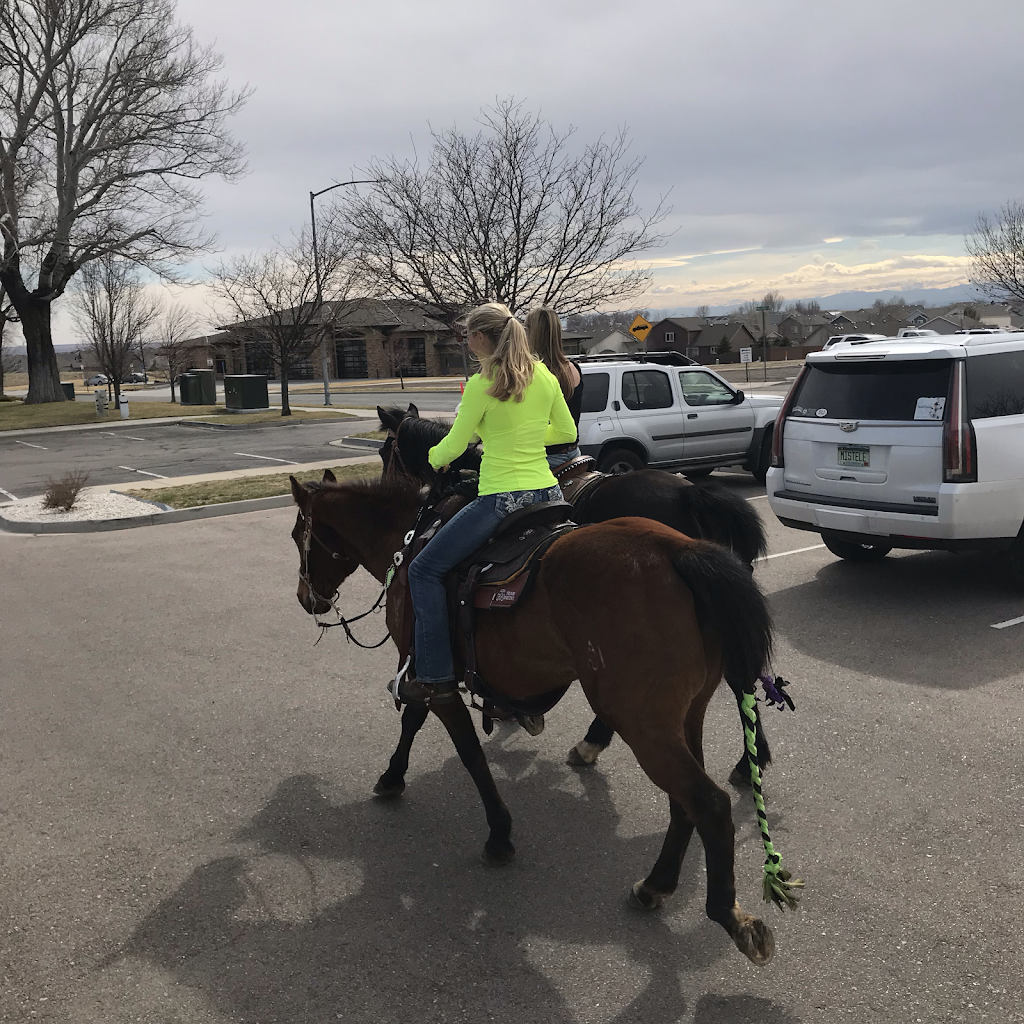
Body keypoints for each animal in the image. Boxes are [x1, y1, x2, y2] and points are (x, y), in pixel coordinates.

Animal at [290, 468, 798, 958]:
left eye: (298, 535)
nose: (305, 598)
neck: (411, 539)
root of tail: (680, 550)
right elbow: (421, 724)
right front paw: (395, 777)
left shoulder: (428, 673)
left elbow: (462, 748)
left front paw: (494, 832)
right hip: (685, 715)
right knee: (686, 798)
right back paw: (657, 882)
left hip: (644, 723)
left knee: (708, 803)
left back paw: (730, 914)